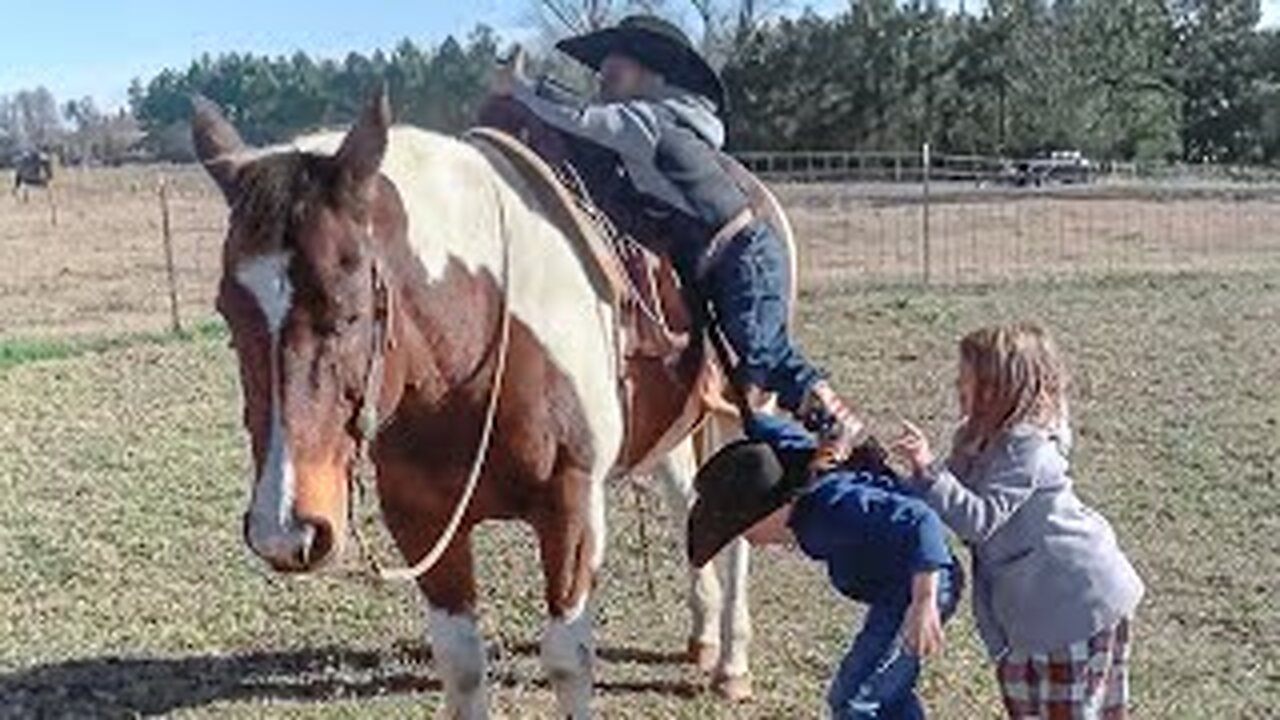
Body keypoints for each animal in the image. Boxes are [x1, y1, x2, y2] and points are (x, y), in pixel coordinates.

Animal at [193, 88, 783, 712]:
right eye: (228, 312)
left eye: (349, 309)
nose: (285, 532)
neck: (476, 336)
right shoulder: (422, 520)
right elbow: (461, 663)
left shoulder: (572, 510)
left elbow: (568, 660)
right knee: (688, 501)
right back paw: (702, 636)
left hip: (749, 408)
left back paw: (732, 664)